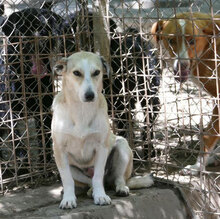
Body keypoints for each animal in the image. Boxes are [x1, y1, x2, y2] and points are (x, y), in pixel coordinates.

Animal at [51, 51, 153, 209]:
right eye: (76, 73)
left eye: (96, 72)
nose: (90, 95)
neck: (82, 111)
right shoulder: (59, 150)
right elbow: (67, 180)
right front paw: (68, 199)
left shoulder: (101, 148)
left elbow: (98, 176)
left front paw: (100, 196)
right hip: (72, 168)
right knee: (87, 182)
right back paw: (89, 191)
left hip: (122, 146)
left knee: (116, 179)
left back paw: (120, 188)